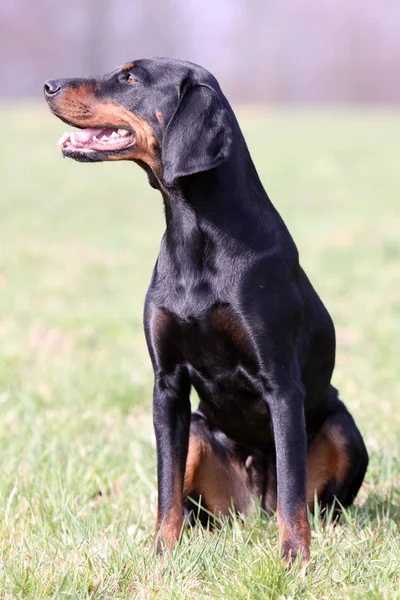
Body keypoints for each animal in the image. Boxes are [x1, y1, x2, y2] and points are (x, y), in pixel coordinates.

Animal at [44, 58, 368, 564]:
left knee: (311, 498)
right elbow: (166, 488)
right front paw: (161, 554)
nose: (48, 85)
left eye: (130, 77)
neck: (195, 231)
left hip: (343, 428)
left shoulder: (282, 384)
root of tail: (255, 504)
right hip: (199, 433)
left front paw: (294, 558)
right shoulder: (167, 385)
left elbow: (293, 490)